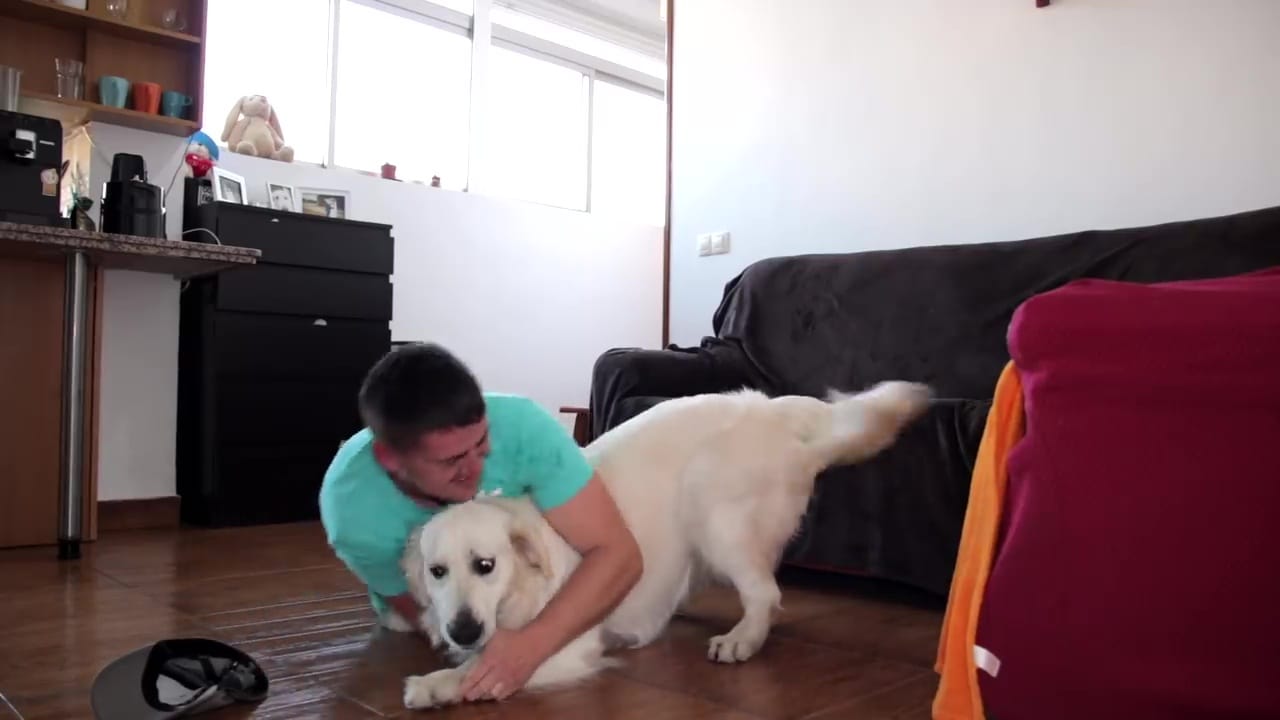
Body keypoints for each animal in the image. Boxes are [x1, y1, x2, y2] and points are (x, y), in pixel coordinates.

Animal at [399, 381, 932, 710]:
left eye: (485, 565)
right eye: (437, 571)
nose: (462, 630)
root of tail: (769, 407)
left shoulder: (558, 644)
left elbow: (483, 667)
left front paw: (433, 684)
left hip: (711, 509)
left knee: (765, 593)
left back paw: (742, 639)